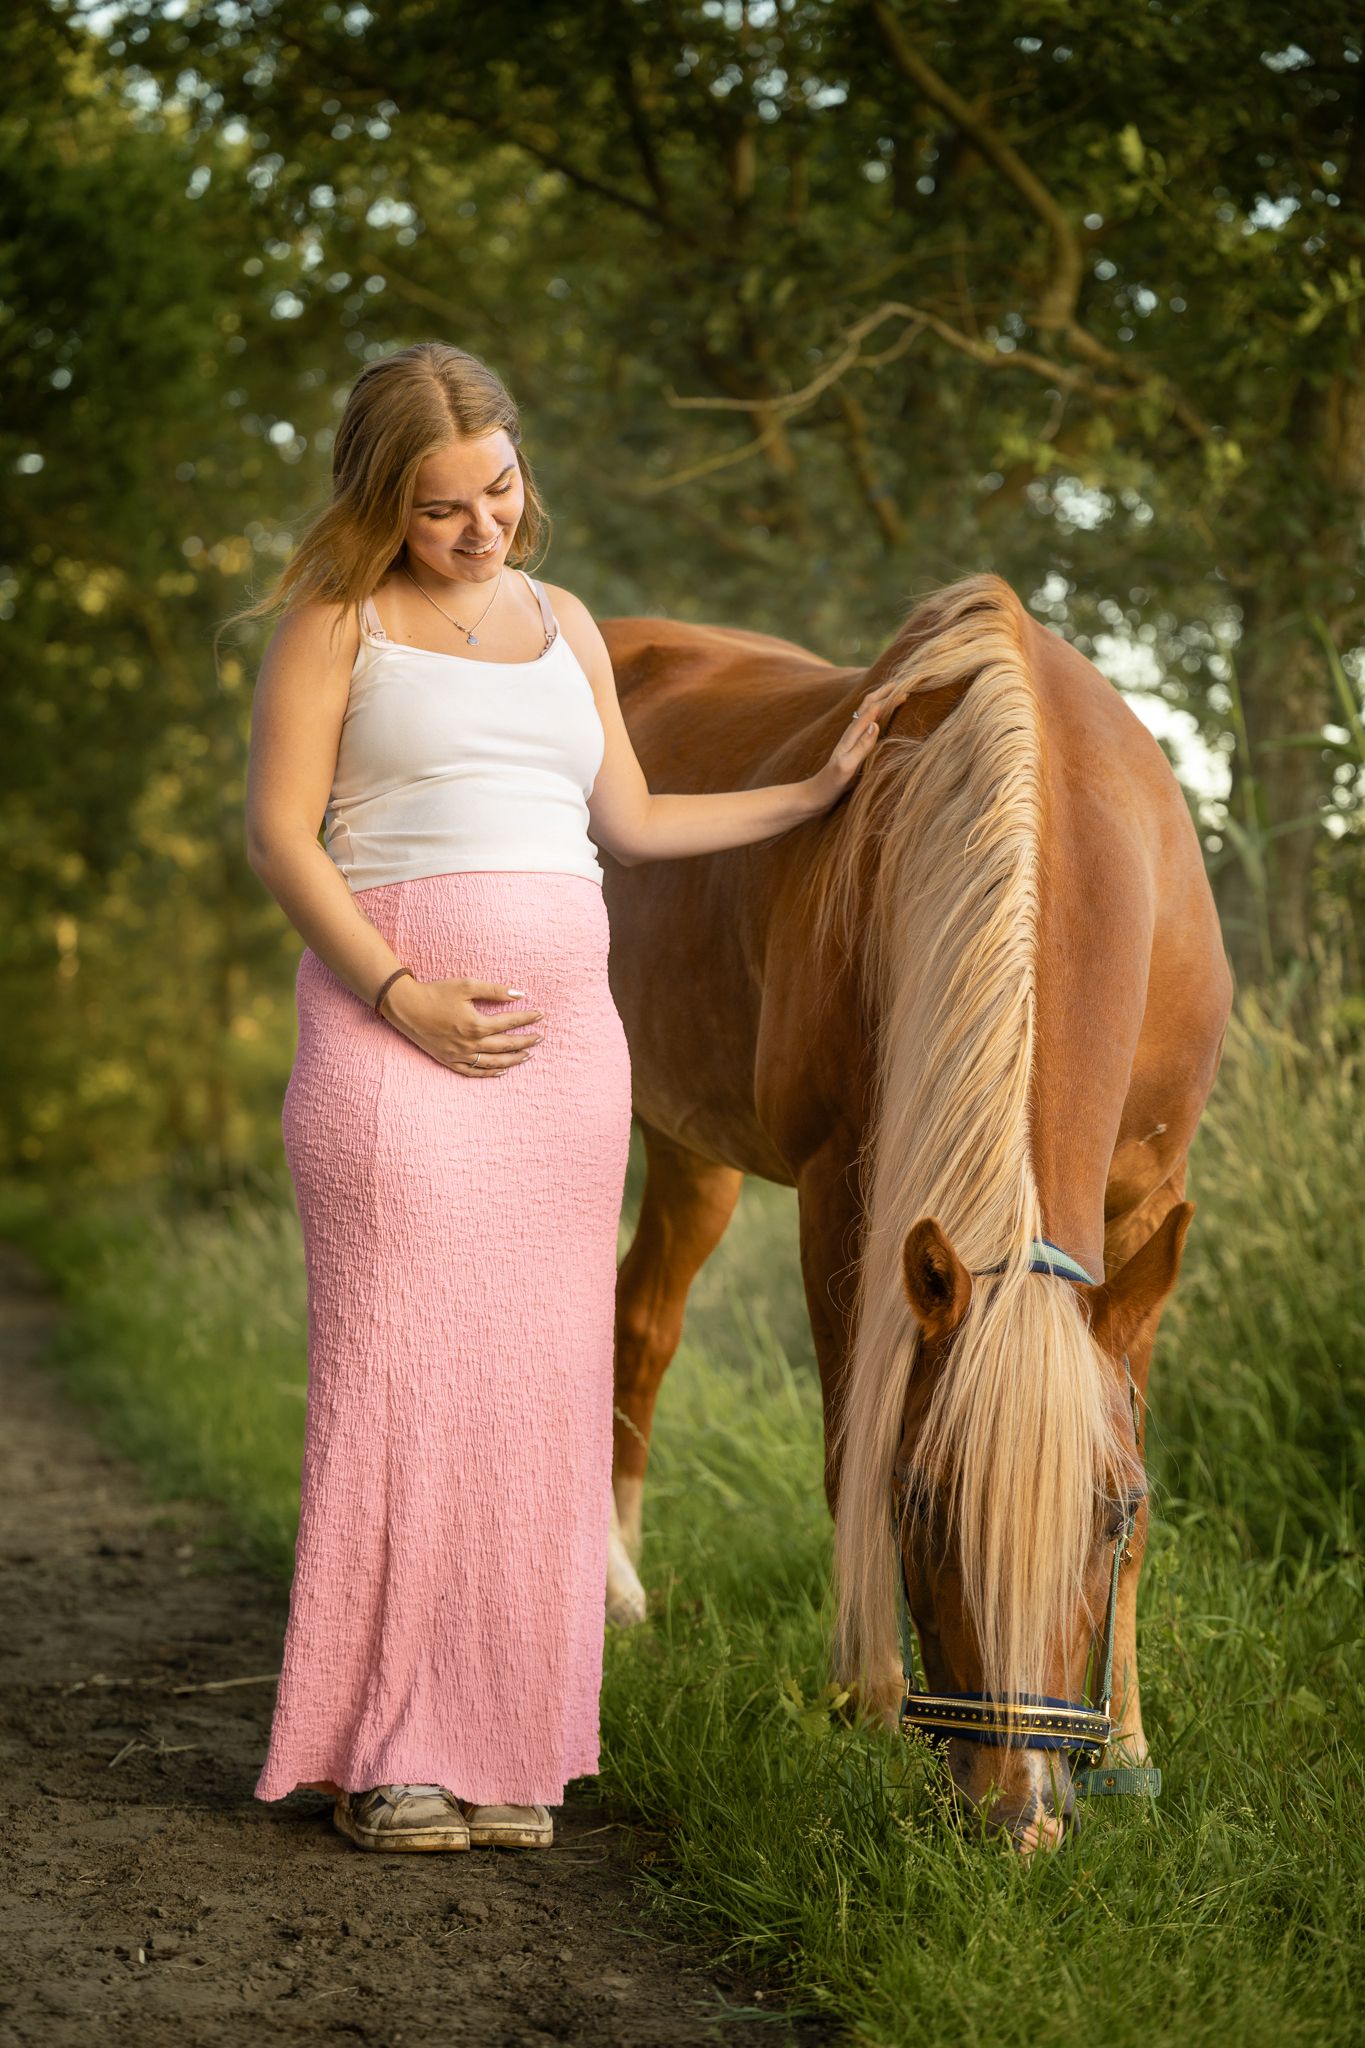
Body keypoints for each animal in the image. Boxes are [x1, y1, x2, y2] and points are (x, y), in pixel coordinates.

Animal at [597, 571, 1232, 1850]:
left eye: (1106, 1512)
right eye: (926, 1503)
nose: (1019, 1814)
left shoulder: (1149, 1208)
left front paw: (1136, 1739)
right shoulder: (841, 1190)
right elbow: (852, 1438)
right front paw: (868, 1700)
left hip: (690, 1148)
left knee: (642, 1322)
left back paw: (628, 1589)